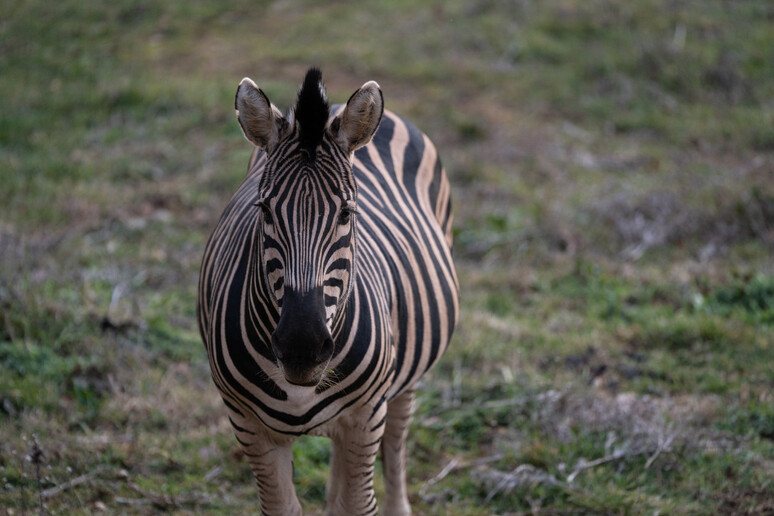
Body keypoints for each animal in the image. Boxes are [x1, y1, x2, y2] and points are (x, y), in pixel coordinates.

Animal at [197, 69, 458, 516]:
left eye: (347, 213)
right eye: (264, 210)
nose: (302, 347)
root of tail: (335, 107)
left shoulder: (366, 415)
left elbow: (359, 503)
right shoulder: (247, 423)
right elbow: (285, 507)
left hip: (399, 384)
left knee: (396, 439)